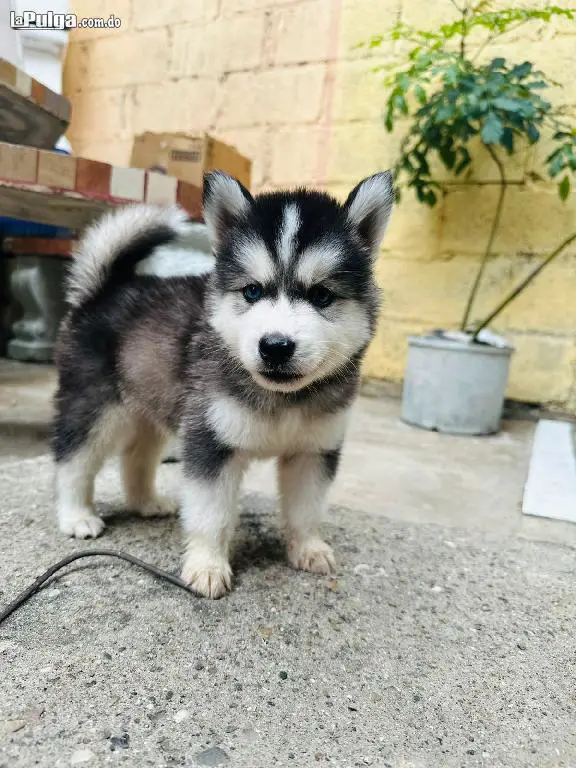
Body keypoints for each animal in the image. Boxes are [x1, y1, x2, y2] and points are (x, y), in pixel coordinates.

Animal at [54, 171, 394, 596]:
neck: (283, 398)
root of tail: (105, 289)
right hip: (96, 405)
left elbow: (306, 508)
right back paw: (76, 516)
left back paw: (147, 503)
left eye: (321, 295)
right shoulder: (211, 442)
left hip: (153, 406)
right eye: (252, 290)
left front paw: (308, 548)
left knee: (136, 456)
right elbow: (210, 515)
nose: (275, 346)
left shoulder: (314, 450)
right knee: (74, 459)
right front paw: (207, 567)